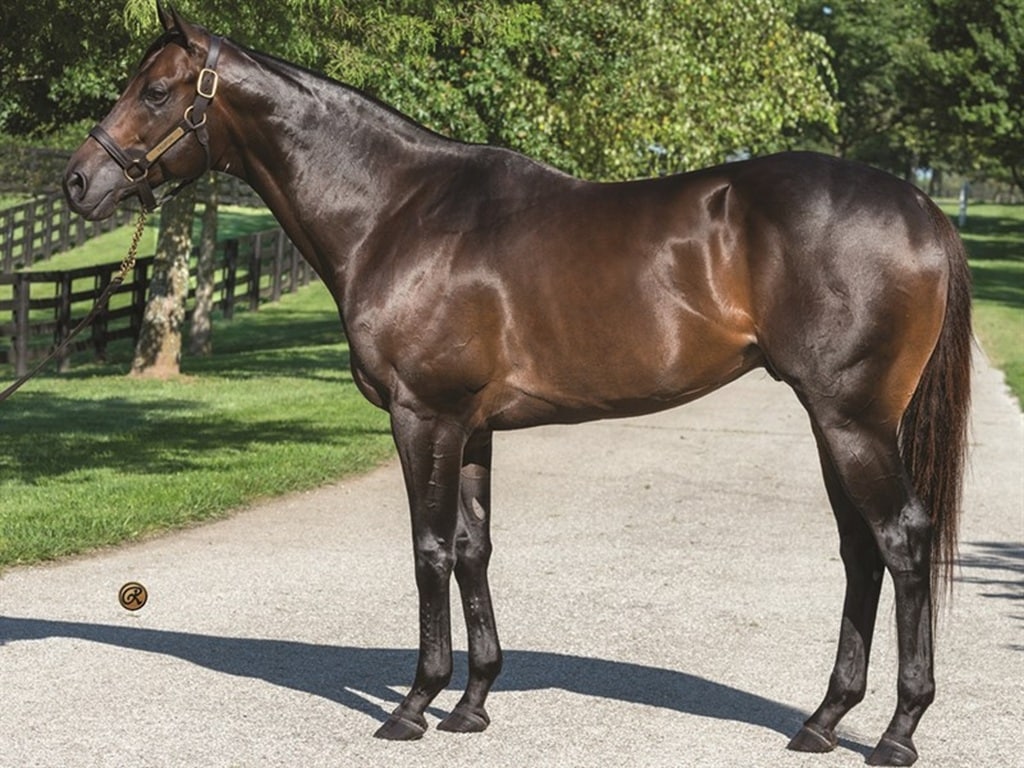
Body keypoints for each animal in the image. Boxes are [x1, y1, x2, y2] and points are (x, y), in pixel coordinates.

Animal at [63, 7, 971, 765]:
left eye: (154, 90)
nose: (78, 183)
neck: (396, 211)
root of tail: (921, 207)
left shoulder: (422, 416)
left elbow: (428, 550)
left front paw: (414, 705)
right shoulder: (473, 427)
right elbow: (474, 548)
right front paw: (472, 704)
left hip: (851, 418)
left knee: (900, 541)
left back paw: (897, 731)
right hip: (833, 422)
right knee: (860, 551)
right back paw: (823, 720)